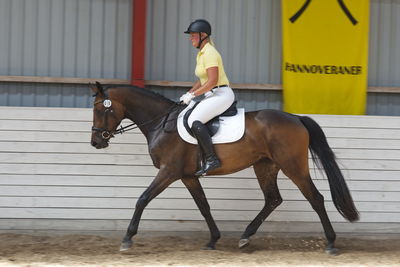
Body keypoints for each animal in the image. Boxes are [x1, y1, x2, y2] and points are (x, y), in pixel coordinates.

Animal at [90, 82, 360, 256]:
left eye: (100, 109)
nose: (96, 142)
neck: (160, 123)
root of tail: (296, 118)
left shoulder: (169, 172)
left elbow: (143, 199)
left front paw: (127, 239)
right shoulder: (188, 176)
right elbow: (203, 206)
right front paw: (213, 240)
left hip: (292, 166)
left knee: (315, 198)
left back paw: (331, 244)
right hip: (265, 166)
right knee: (273, 199)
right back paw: (245, 237)